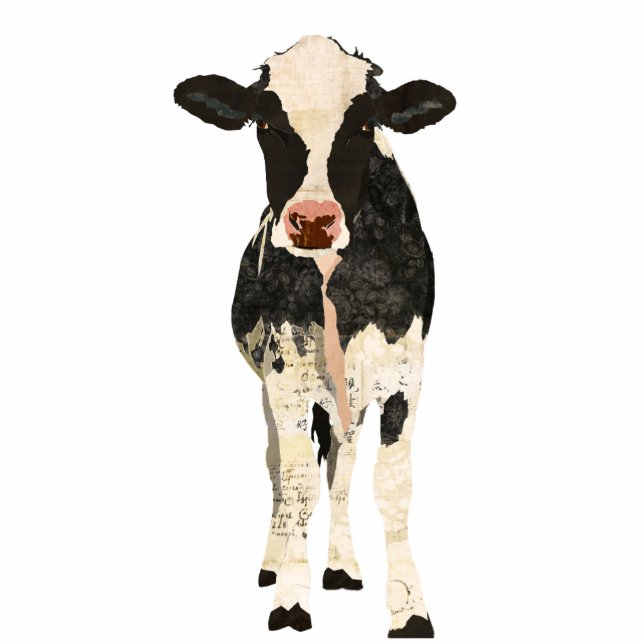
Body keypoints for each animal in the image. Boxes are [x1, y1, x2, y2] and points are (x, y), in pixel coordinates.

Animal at [174, 35, 455, 638]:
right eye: (267, 123)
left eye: (364, 124)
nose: (312, 220)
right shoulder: (287, 374)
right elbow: (299, 479)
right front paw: (289, 598)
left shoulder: (406, 370)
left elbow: (390, 484)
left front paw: (409, 607)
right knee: (280, 469)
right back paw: (274, 562)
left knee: (342, 466)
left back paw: (343, 566)